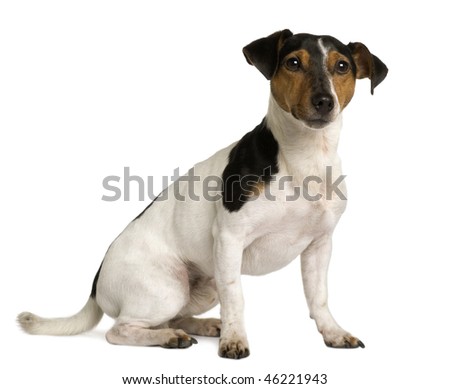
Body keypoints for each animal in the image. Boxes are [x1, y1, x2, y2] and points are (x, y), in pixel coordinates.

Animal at [18, 29, 386, 358]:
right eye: (293, 63)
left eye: (342, 66)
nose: (324, 102)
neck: (304, 157)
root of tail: (95, 286)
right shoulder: (230, 239)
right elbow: (236, 297)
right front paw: (234, 341)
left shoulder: (319, 246)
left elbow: (318, 297)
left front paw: (334, 333)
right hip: (166, 288)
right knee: (120, 330)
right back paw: (170, 338)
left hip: (202, 287)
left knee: (176, 317)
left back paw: (202, 326)